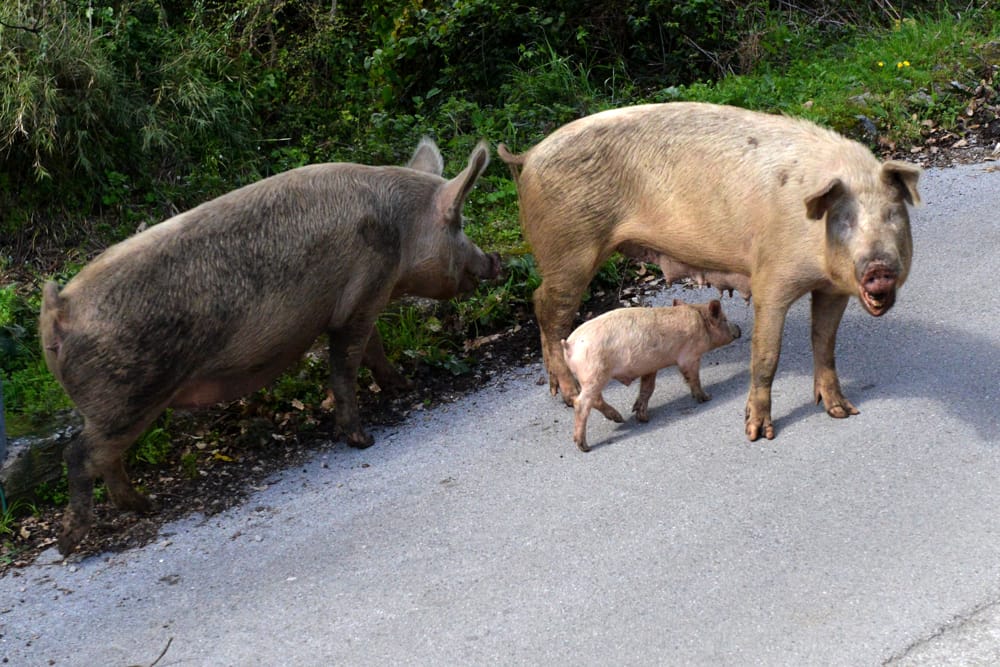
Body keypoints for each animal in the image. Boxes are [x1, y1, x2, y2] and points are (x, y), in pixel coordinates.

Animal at [41, 137, 500, 560]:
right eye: (458, 224)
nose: (495, 260)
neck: (402, 231)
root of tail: (61, 310)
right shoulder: (363, 293)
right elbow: (346, 364)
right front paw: (363, 439)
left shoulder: (366, 299)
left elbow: (375, 349)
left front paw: (404, 387)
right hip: (126, 399)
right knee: (80, 454)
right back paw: (73, 542)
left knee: (106, 458)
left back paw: (144, 507)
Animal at [564, 298, 744, 452]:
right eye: (724, 319)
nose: (739, 328)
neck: (700, 322)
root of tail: (570, 344)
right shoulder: (689, 356)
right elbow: (693, 378)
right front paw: (707, 398)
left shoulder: (650, 368)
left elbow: (648, 388)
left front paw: (643, 418)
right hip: (595, 373)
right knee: (581, 402)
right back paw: (585, 446)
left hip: (590, 377)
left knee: (593, 399)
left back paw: (620, 418)